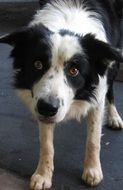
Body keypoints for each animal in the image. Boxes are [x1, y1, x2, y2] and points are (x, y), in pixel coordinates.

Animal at [0, 0, 123, 189]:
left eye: (74, 70)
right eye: (37, 64)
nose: (47, 108)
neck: (68, 21)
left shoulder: (97, 95)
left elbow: (93, 139)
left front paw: (92, 170)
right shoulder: (41, 102)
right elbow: (46, 144)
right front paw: (43, 174)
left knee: (111, 91)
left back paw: (114, 116)